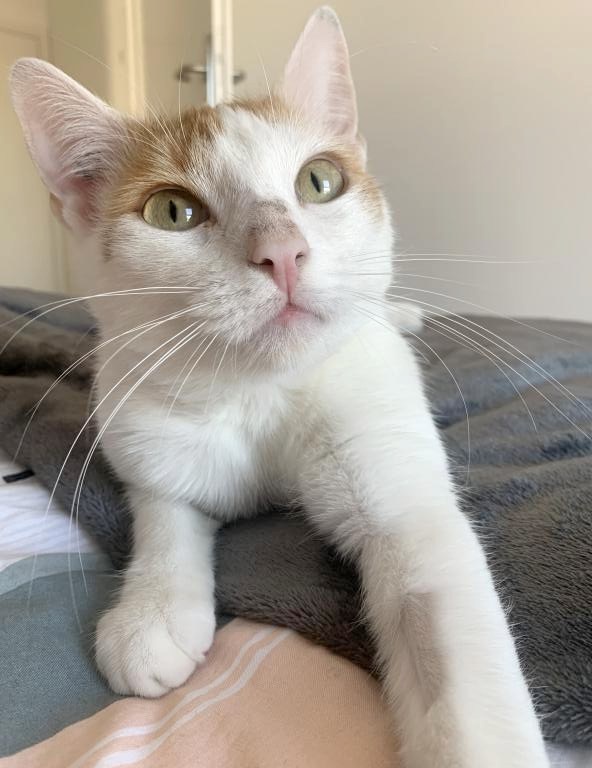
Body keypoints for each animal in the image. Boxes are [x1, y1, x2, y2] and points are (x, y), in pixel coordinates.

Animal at [10, 7, 549, 767]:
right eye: (171, 211)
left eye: (319, 181)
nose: (282, 252)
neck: (258, 395)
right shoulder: (141, 426)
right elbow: (163, 507)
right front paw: (153, 610)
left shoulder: (402, 495)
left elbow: (448, 647)